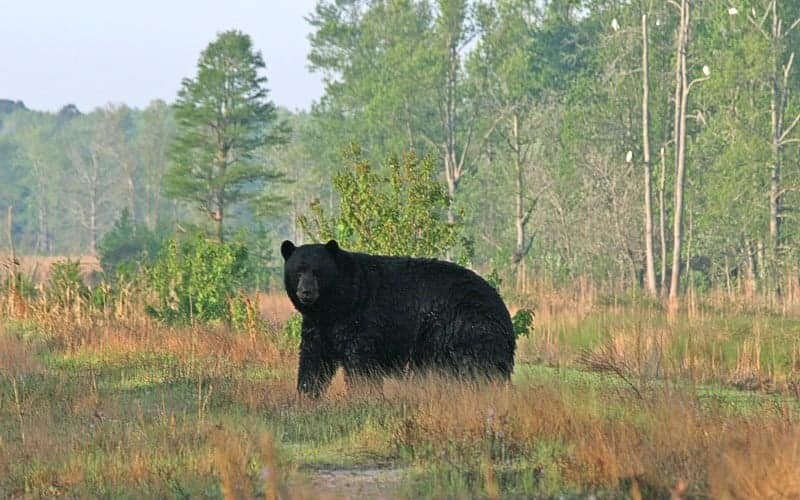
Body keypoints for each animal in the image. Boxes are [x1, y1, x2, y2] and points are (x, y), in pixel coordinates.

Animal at [281, 239, 516, 398]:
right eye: (298, 271)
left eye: (317, 272)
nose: (306, 292)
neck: (336, 305)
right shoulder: (318, 326)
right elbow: (313, 360)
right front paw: (306, 395)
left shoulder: (362, 319)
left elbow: (360, 361)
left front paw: (363, 395)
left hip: (466, 326)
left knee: (475, 367)